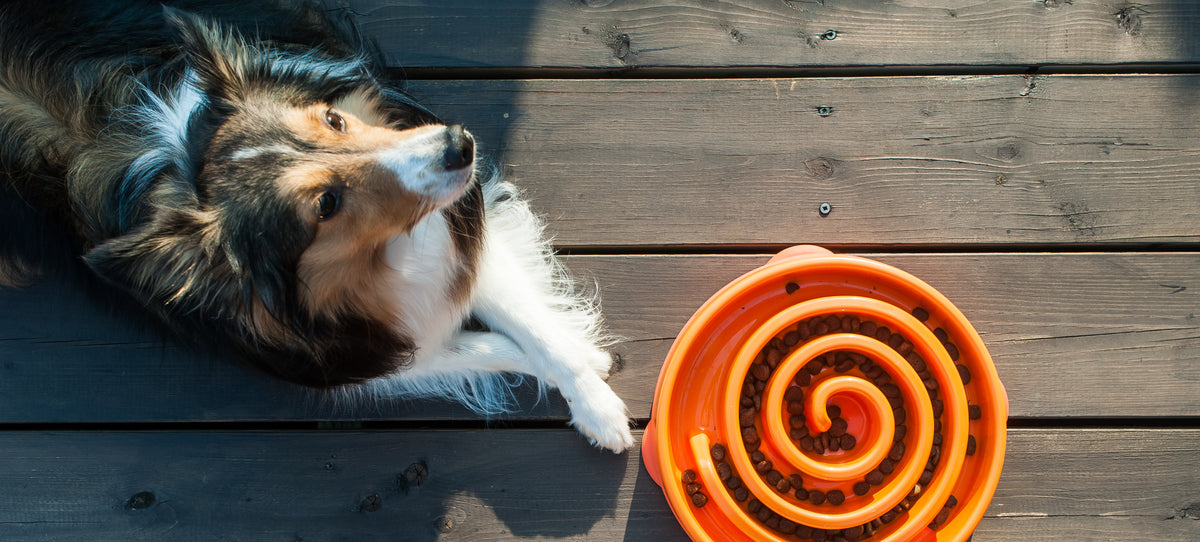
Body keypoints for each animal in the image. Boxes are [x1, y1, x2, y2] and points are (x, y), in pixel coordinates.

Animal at [0, 2, 638, 450]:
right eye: (326, 204)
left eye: (334, 119)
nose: (461, 145)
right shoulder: (344, 359)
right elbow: (456, 345)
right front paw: (592, 367)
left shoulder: (456, 222)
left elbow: (527, 321)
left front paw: (594, 398)